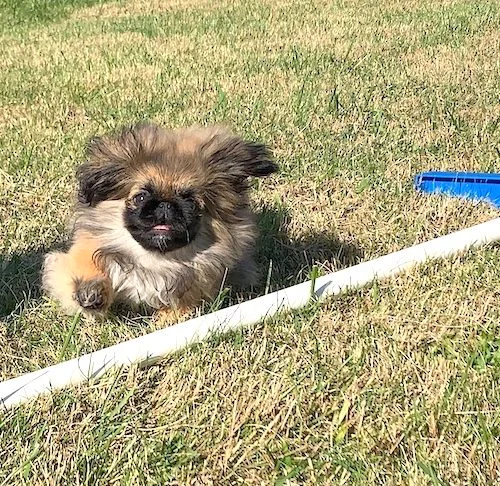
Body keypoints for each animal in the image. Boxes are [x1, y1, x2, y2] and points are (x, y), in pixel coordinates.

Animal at [42, 123, 278, 318]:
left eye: (190, 201)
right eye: (141, 197)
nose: (165, 205)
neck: (154, 260)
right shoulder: (83, 249)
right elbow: (83, 264)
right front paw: (91, 292)